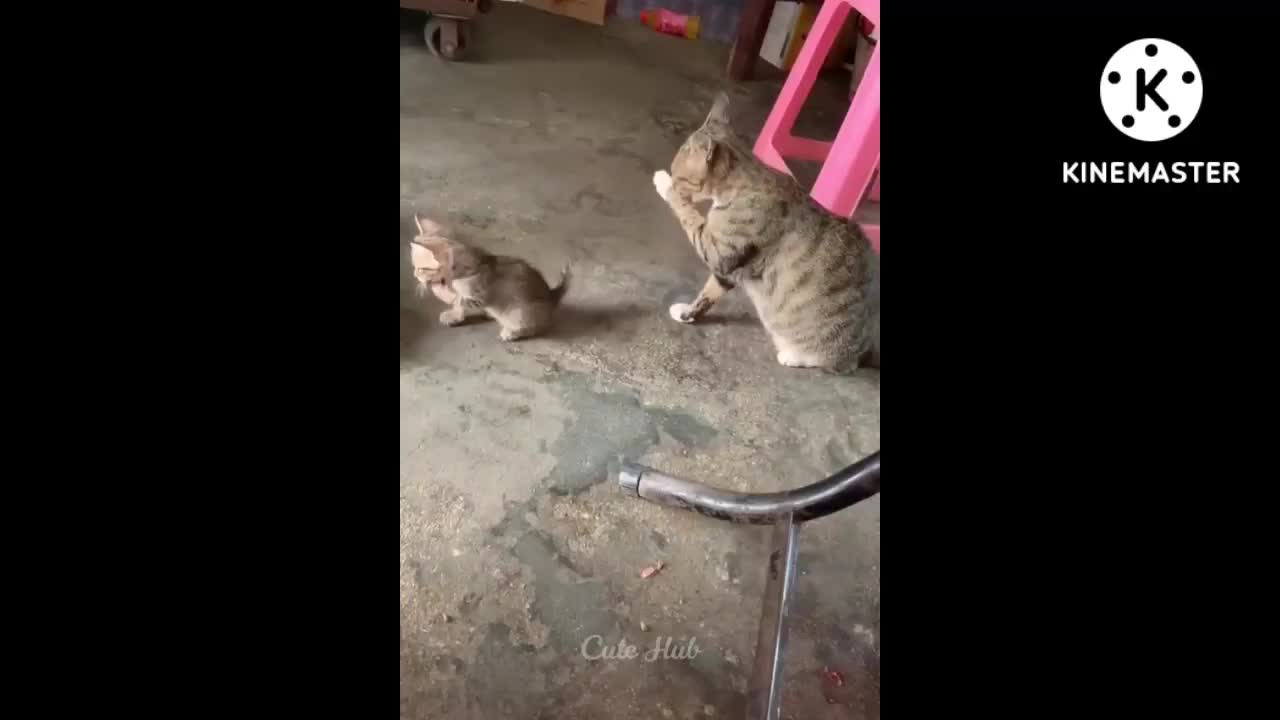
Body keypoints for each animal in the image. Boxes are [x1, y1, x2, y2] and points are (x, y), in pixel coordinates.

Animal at [409, 213, 570, 340]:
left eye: (421, 269)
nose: (415, 275)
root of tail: (552, 296)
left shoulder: (479, 296)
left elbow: (460, 299)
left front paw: (448, 297)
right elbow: (459, 302)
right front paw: (454, 315)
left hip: (521, 313)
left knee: (534, 328)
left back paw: (511, 332)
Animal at [650, 90, 880, 368]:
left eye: (678, 176)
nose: (672, 177)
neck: (745, 180)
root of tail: (865, 349)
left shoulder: (717, 249)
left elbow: (686, 212)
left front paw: (664, 184)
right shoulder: (729, 268)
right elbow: (708, 294)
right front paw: (687, 314)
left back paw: (791, 356)